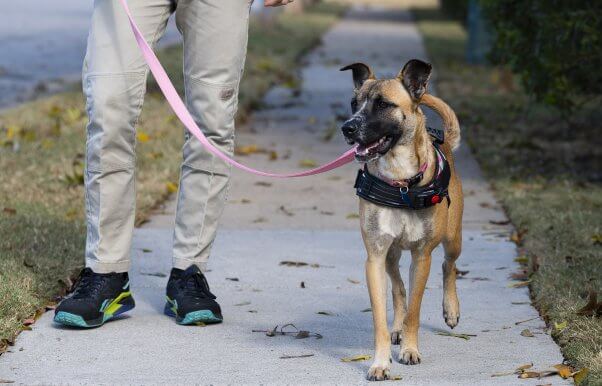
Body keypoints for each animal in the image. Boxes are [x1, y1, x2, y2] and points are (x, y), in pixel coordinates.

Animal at [340, 59, 462, 380]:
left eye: (383, 104)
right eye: (354, 103)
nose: (347, 127)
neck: (401, 183)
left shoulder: (422, 256)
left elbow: (416, 311)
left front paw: (410, 348)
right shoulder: (375, 257)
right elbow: (381, 318)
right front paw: (381, 361)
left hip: (452, 238)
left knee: (449, 265)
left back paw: (451, 309)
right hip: (392, 254)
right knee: (397, 287)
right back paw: (397, 325)